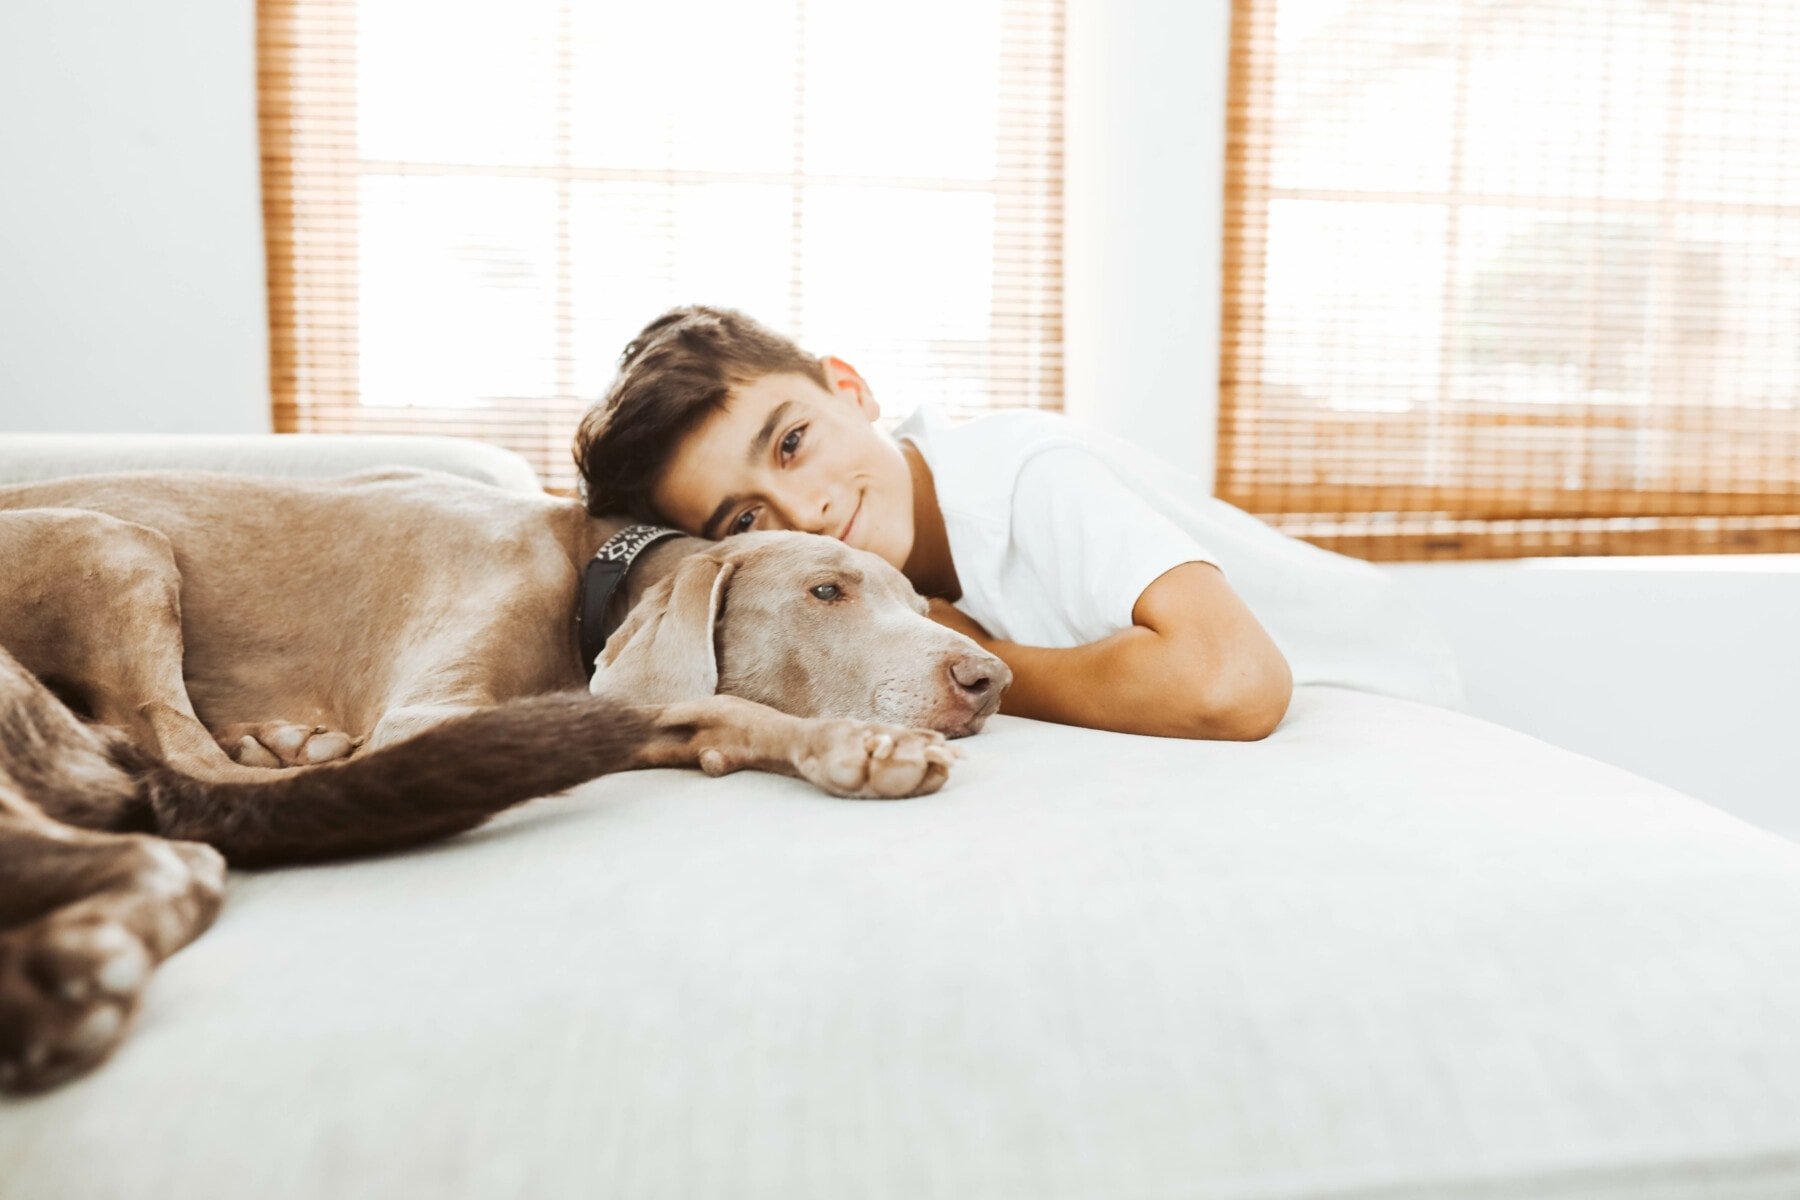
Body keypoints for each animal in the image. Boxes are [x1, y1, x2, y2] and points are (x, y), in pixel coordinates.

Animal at [0, 464, 1015, 1093]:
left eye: (917, 600)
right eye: (825, 592)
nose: (989, 678)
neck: (590, 569)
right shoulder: (432, 716)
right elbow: (688, 711)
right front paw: (854, 743)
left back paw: (285, 741)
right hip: (115, 543)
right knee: (191, 764)